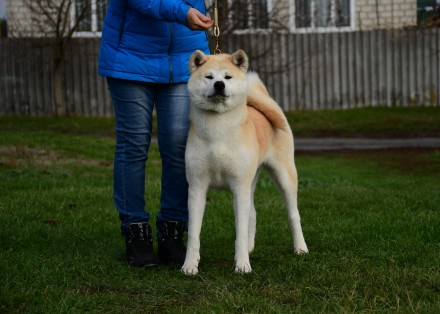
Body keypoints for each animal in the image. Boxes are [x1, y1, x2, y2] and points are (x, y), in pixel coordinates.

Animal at [180, 49, 308, 274]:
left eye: (227, 77)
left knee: (293, 215)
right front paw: (190, 266)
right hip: (251, 181)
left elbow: (239, 232)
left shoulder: (239, 186)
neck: (217, 131)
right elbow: (194, 234)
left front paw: (242, 266)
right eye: (209, 77)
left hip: (284, 176)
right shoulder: (197, 187)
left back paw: (300, 248)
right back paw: (250, 248)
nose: (219, 85)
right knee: (252, 214)